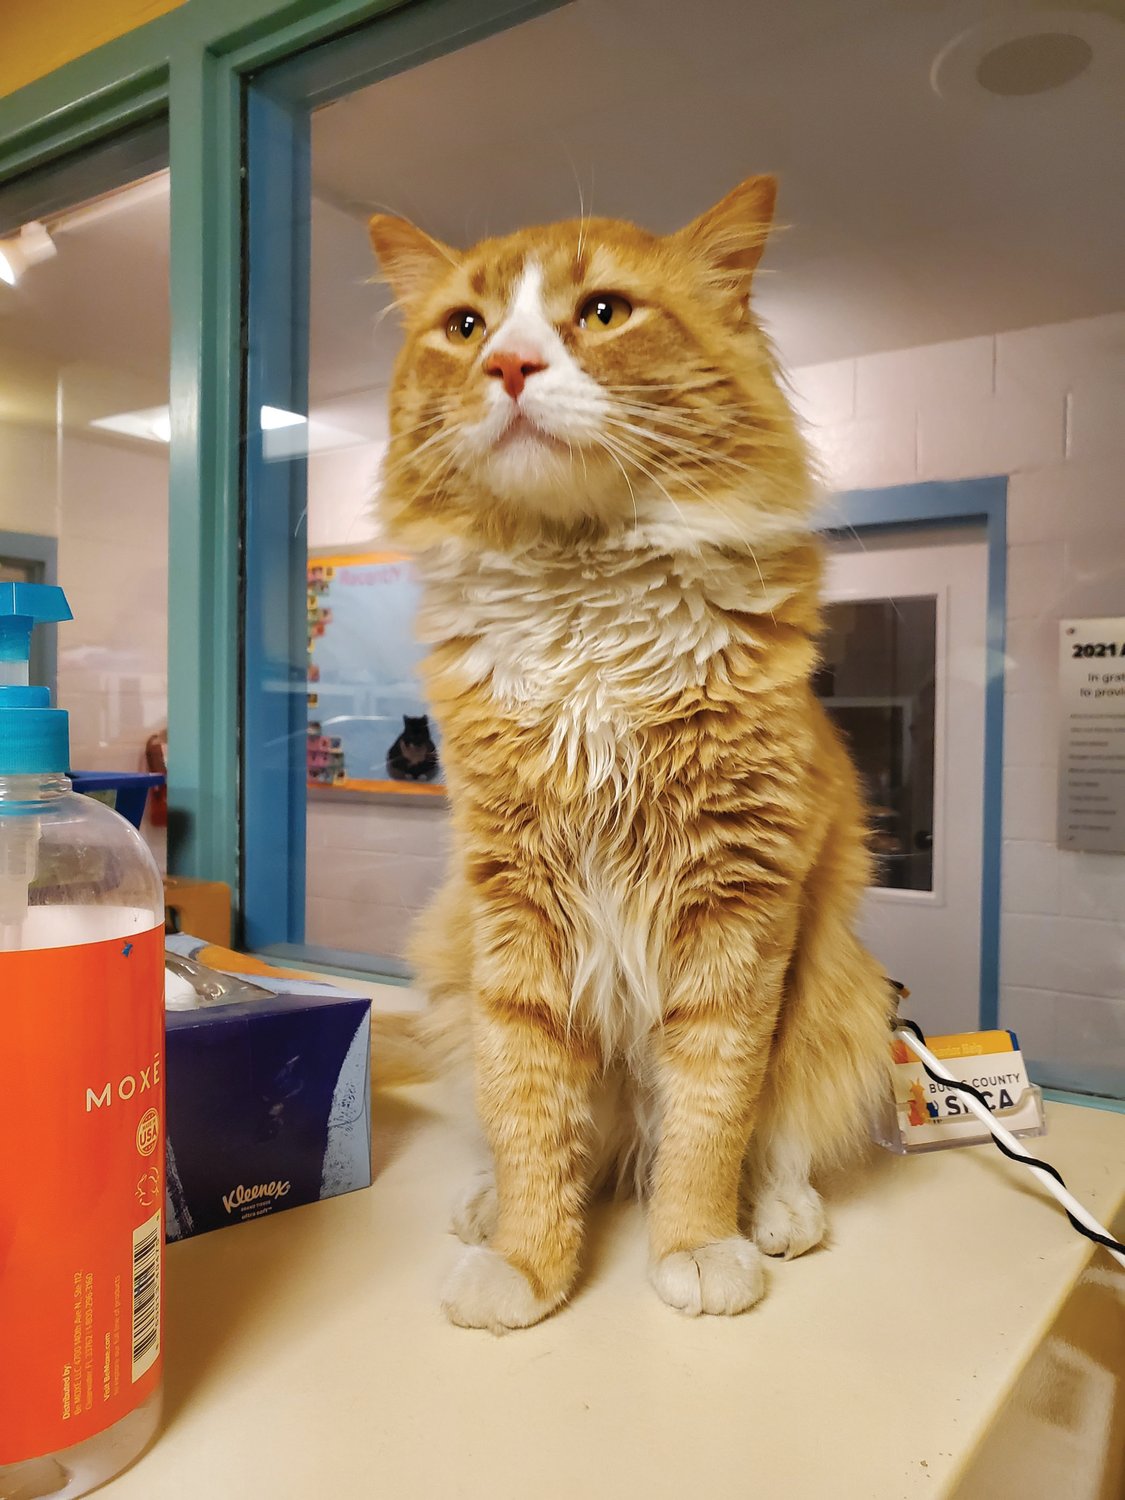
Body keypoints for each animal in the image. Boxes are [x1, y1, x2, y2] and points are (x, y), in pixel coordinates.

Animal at [370, 178, 900, 1338]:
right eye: (465, 326)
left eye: (604, 313)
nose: (508, 366)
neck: (584, 605)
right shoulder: (513, 910)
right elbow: (529, 1113)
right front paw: (527, 1261)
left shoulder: (739, 917)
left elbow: (711, 1115)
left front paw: (696, 1246)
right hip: (448, 956)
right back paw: (486, 1204)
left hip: (842, 988)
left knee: (783, 1134)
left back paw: (777, 1213)